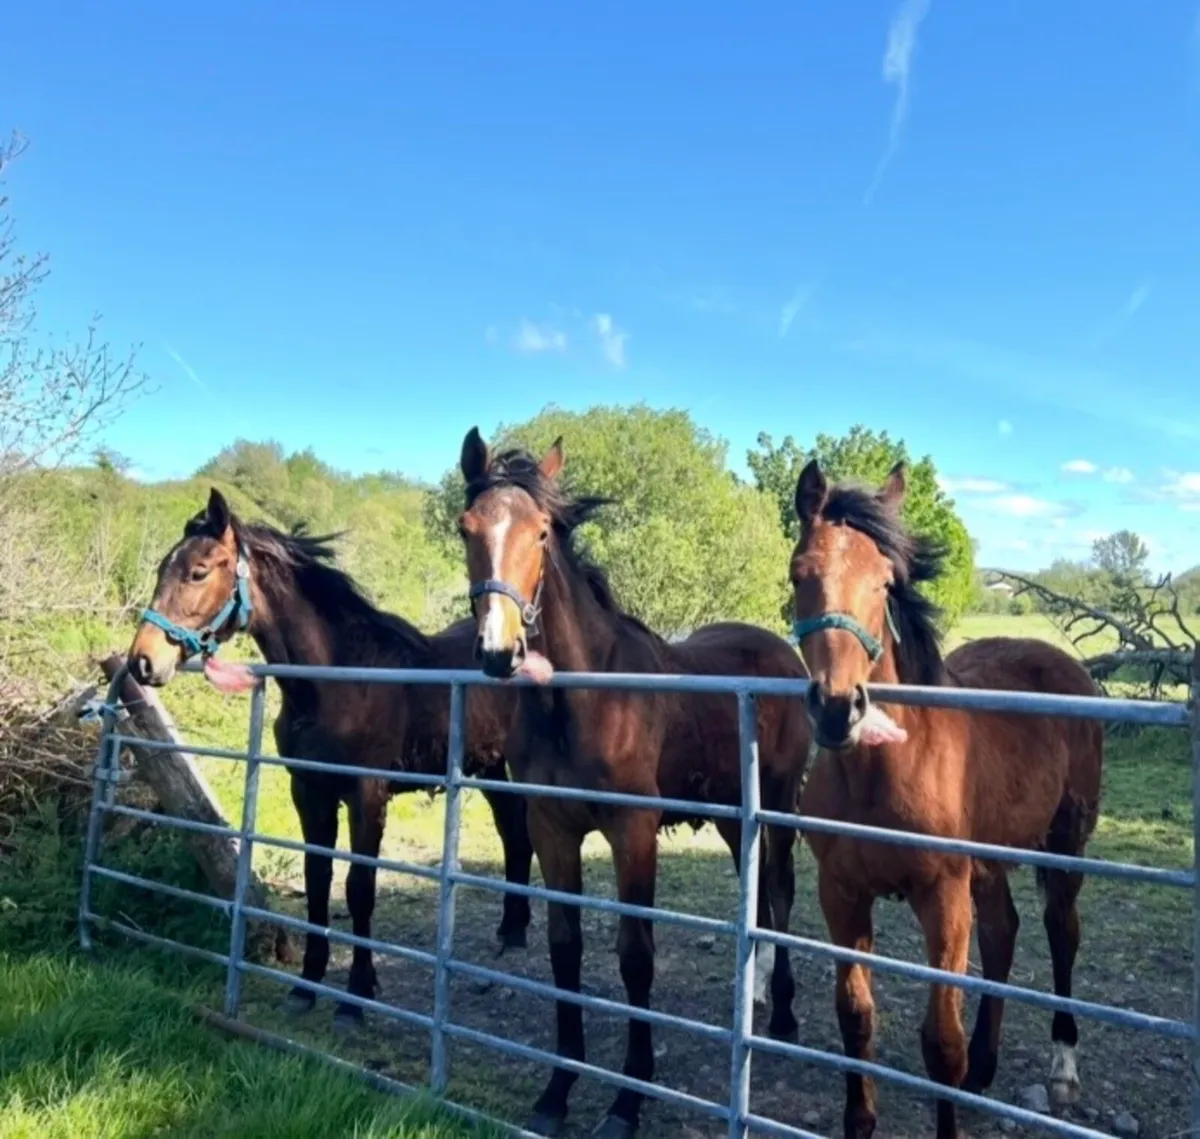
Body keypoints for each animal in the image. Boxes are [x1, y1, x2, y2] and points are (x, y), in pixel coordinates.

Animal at [127, 488, 535, 1028]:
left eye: (198, 571)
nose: (142, 661)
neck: (339, 681)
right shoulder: (309, 791)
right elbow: (318, 878)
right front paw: (307, 984)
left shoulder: (367, 796)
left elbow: (360, 888)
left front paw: (355, 995)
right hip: (486, 764)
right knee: (512, 829)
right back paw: (511, 932)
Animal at [455, 427, 813, 1138]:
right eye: (466, 528)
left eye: (541, 532)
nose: (497, 651)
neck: (582, 700)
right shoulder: (550, 828)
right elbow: (565, 949)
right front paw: (559, 1088)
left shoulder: (633, 831)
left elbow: (635, 955)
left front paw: (628, 1099)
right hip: (731, 815)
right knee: (758, 895)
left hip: (779, 808)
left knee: (781, 897)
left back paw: (783, 1014)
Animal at [787, 458, 1104, 1139]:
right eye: (800, 574)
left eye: (884, 582)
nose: (837, 708)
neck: (883, 771)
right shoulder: (841, 894)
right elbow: (856, 1017)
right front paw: (860, 1120)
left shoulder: (942, 898)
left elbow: (941, 1042)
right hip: (989, 861)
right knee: (1004, 933)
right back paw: (986, 1068)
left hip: (1066, 843)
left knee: (1061, 931)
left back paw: (1063, 1067)